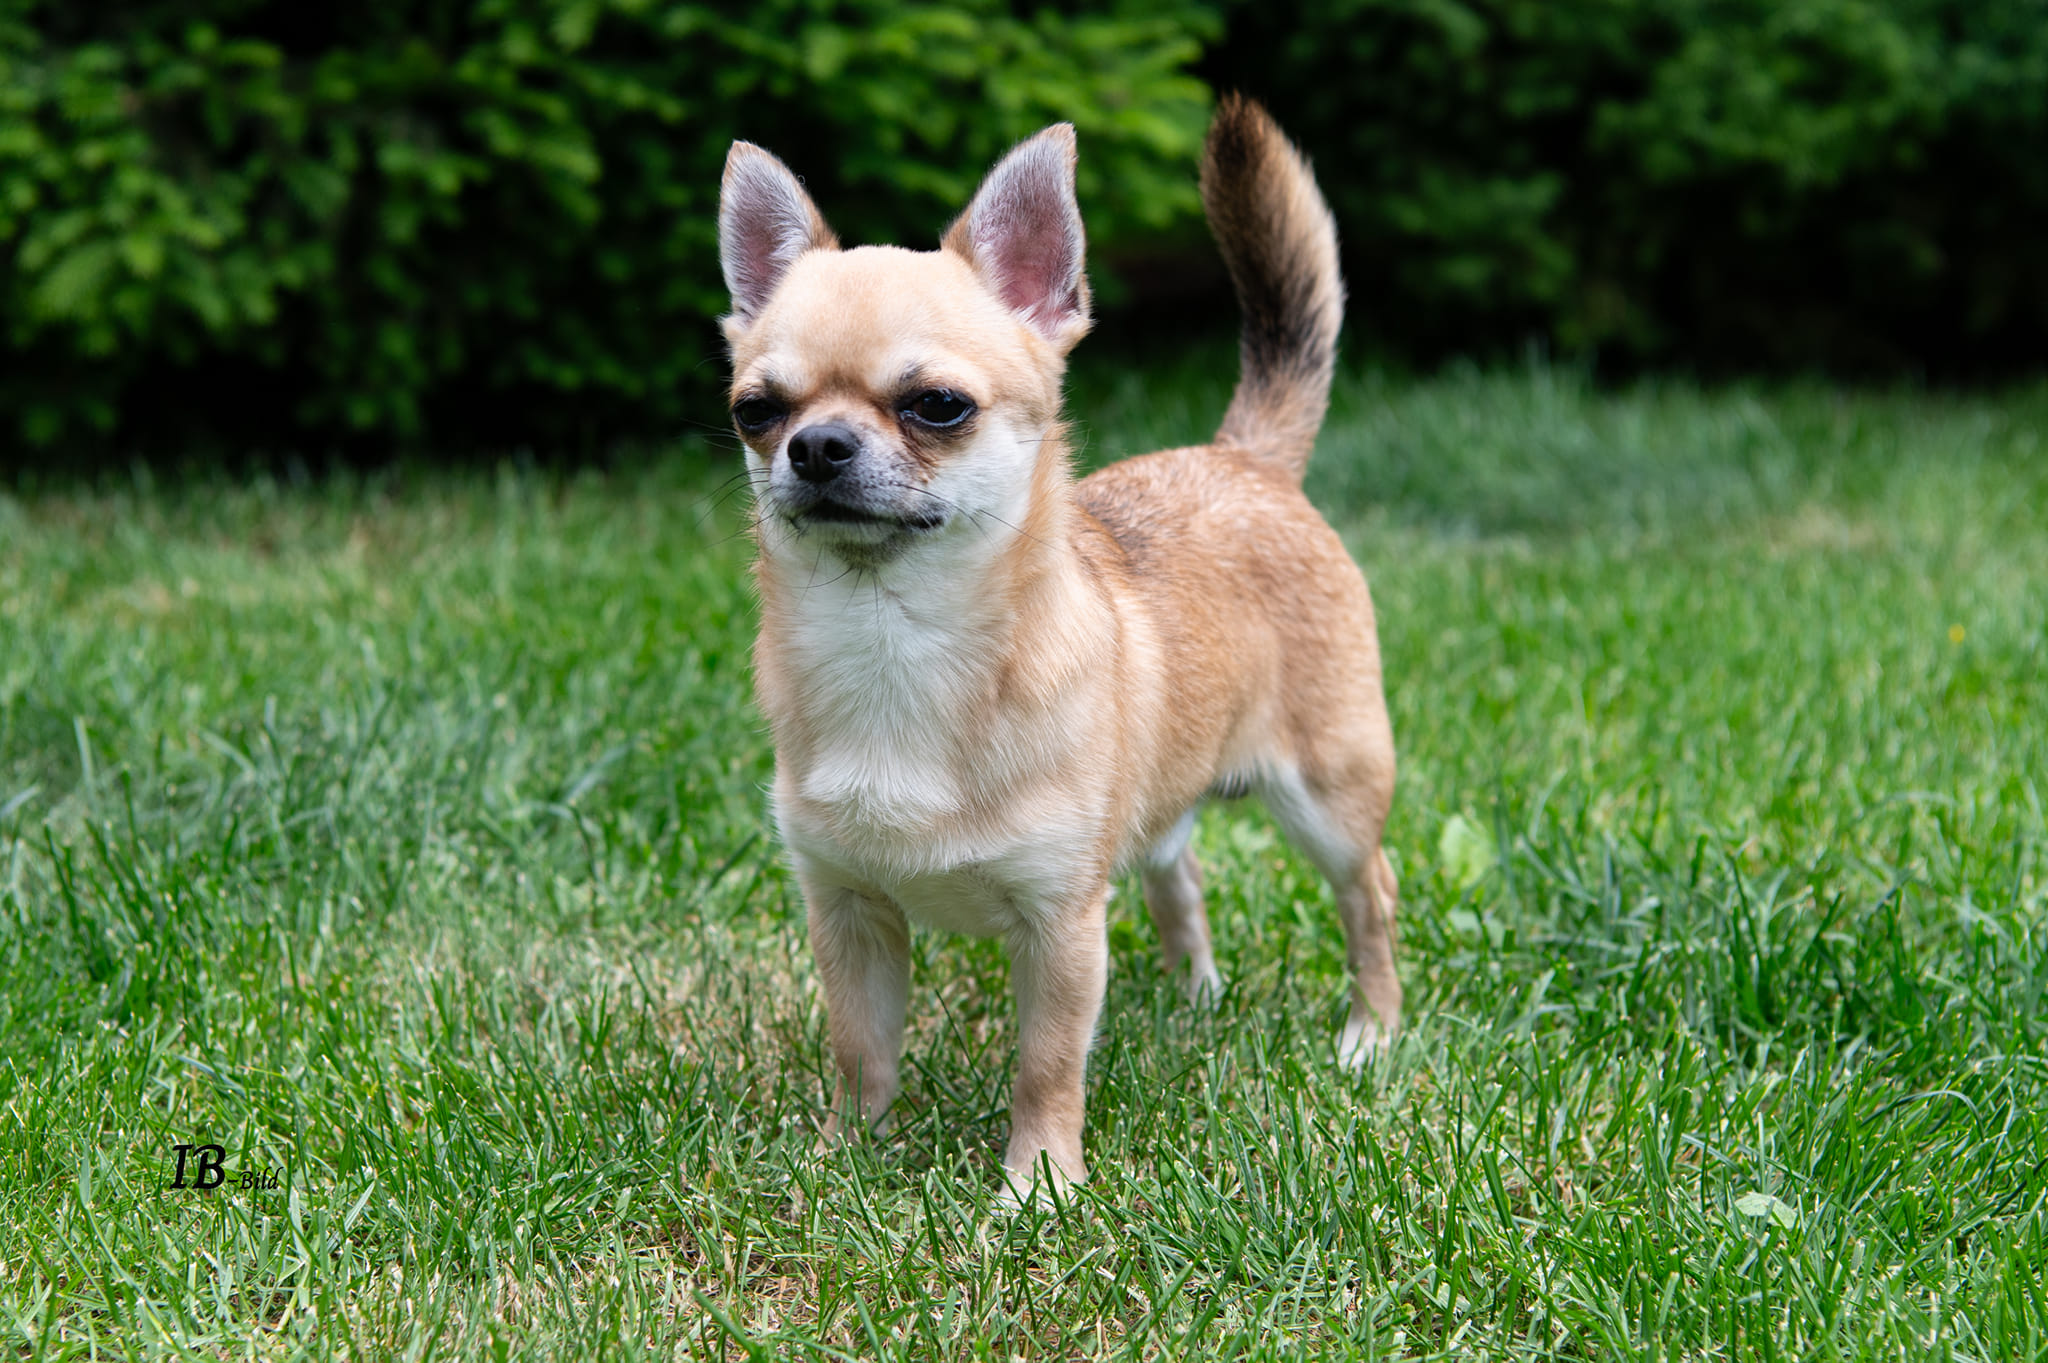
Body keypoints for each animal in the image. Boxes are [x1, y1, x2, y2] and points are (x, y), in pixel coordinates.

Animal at [717, 96, 1400, 1202]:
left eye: (937, 405)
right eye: (755, 411)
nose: (814, 446)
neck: (894, 641)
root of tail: (1244, 457)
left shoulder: (1059, 926)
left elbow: (1045, 1062)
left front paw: (1036, 1186)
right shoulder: (849, 911)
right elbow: (860, 1049)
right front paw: (840, 1160)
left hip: (1330, 797)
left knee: (1368, 895)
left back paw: (1370, 1035)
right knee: (1177, 870)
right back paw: (1194, 996)